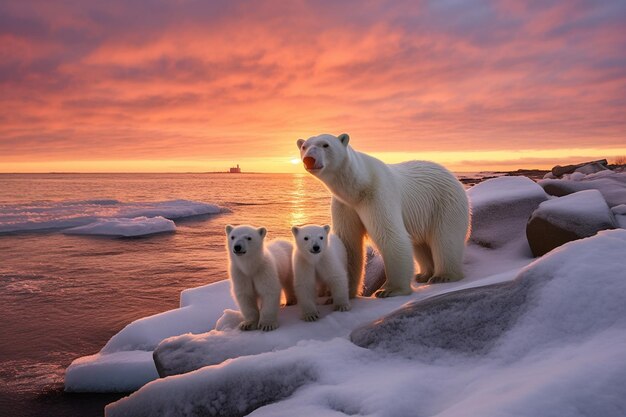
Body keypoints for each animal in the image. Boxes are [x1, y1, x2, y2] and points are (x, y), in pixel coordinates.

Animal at [298, 132, 468, 298]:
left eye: (325, 145)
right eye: (304, 146)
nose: (309, 159)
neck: (359, 188)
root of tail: (450, 174)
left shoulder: (377, 195)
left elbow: (389, 234)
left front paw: (389, 290)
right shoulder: (344, 205)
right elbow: (348, 243)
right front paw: (338, 292)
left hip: (445, 203)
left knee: (446, 238)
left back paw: (443, 275)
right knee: (419, 244)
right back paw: (424, 274)